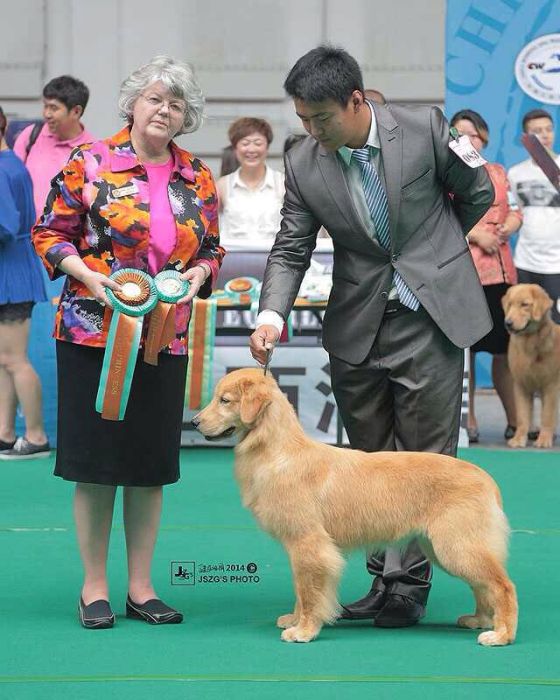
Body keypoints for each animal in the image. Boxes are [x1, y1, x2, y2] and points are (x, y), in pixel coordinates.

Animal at [192, 370, 516, 648]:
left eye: (224, 400)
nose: (194, 422)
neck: (279, 451)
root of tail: (487, 480)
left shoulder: (310, 543)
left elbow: (309, 592)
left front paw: (304, 630)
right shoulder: (299, 547)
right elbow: (300, 589)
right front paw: (295, 620)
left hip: (456, 546)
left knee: (502, 585)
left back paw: (501, 634)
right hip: (444, 547)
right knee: (483, 586)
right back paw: (481, 620)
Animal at [504, 284, 560, 448]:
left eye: (525, 304)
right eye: (510, 304)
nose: (508, 323)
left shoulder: (551, 385)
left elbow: (547, 415)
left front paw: (544, 440)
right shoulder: (521, 384)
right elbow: (523, 416)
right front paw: (518, 439)